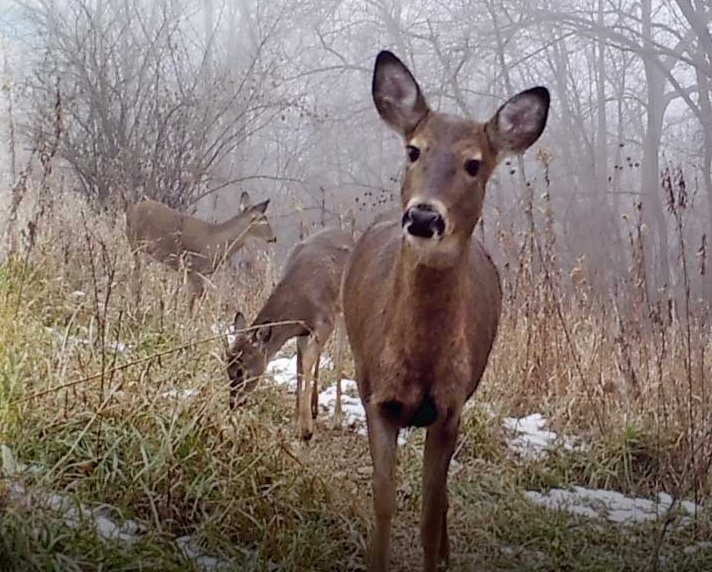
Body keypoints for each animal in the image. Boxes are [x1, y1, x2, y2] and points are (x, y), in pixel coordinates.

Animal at [125, 190, 276, 310]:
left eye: (266, 218)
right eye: (256, 218)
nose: (273, 238)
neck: (216, 241)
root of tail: (131, 210)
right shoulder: (193, 268)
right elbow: (197, 298)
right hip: (137, 243)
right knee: (136, 273)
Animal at [225, 226, 354, 440]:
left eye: (241, 371)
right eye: (227, 368)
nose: (233, 403)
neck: (301, 301)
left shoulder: (325, 322)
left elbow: (308, 362)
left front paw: (306, 429)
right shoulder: (303, 331)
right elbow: (300, 365)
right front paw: (296, 420)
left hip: (343, 308)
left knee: (339, 354)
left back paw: (337, 417)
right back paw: (314, 407)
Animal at [344, 51, 552, 568]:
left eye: (474, 163)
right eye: (414, 151)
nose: (423, 216)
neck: (419, 360)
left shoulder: (451, 407)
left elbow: (429, 510)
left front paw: (435, 557)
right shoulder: (377, 397)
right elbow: (383, 501)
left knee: (441, 502)